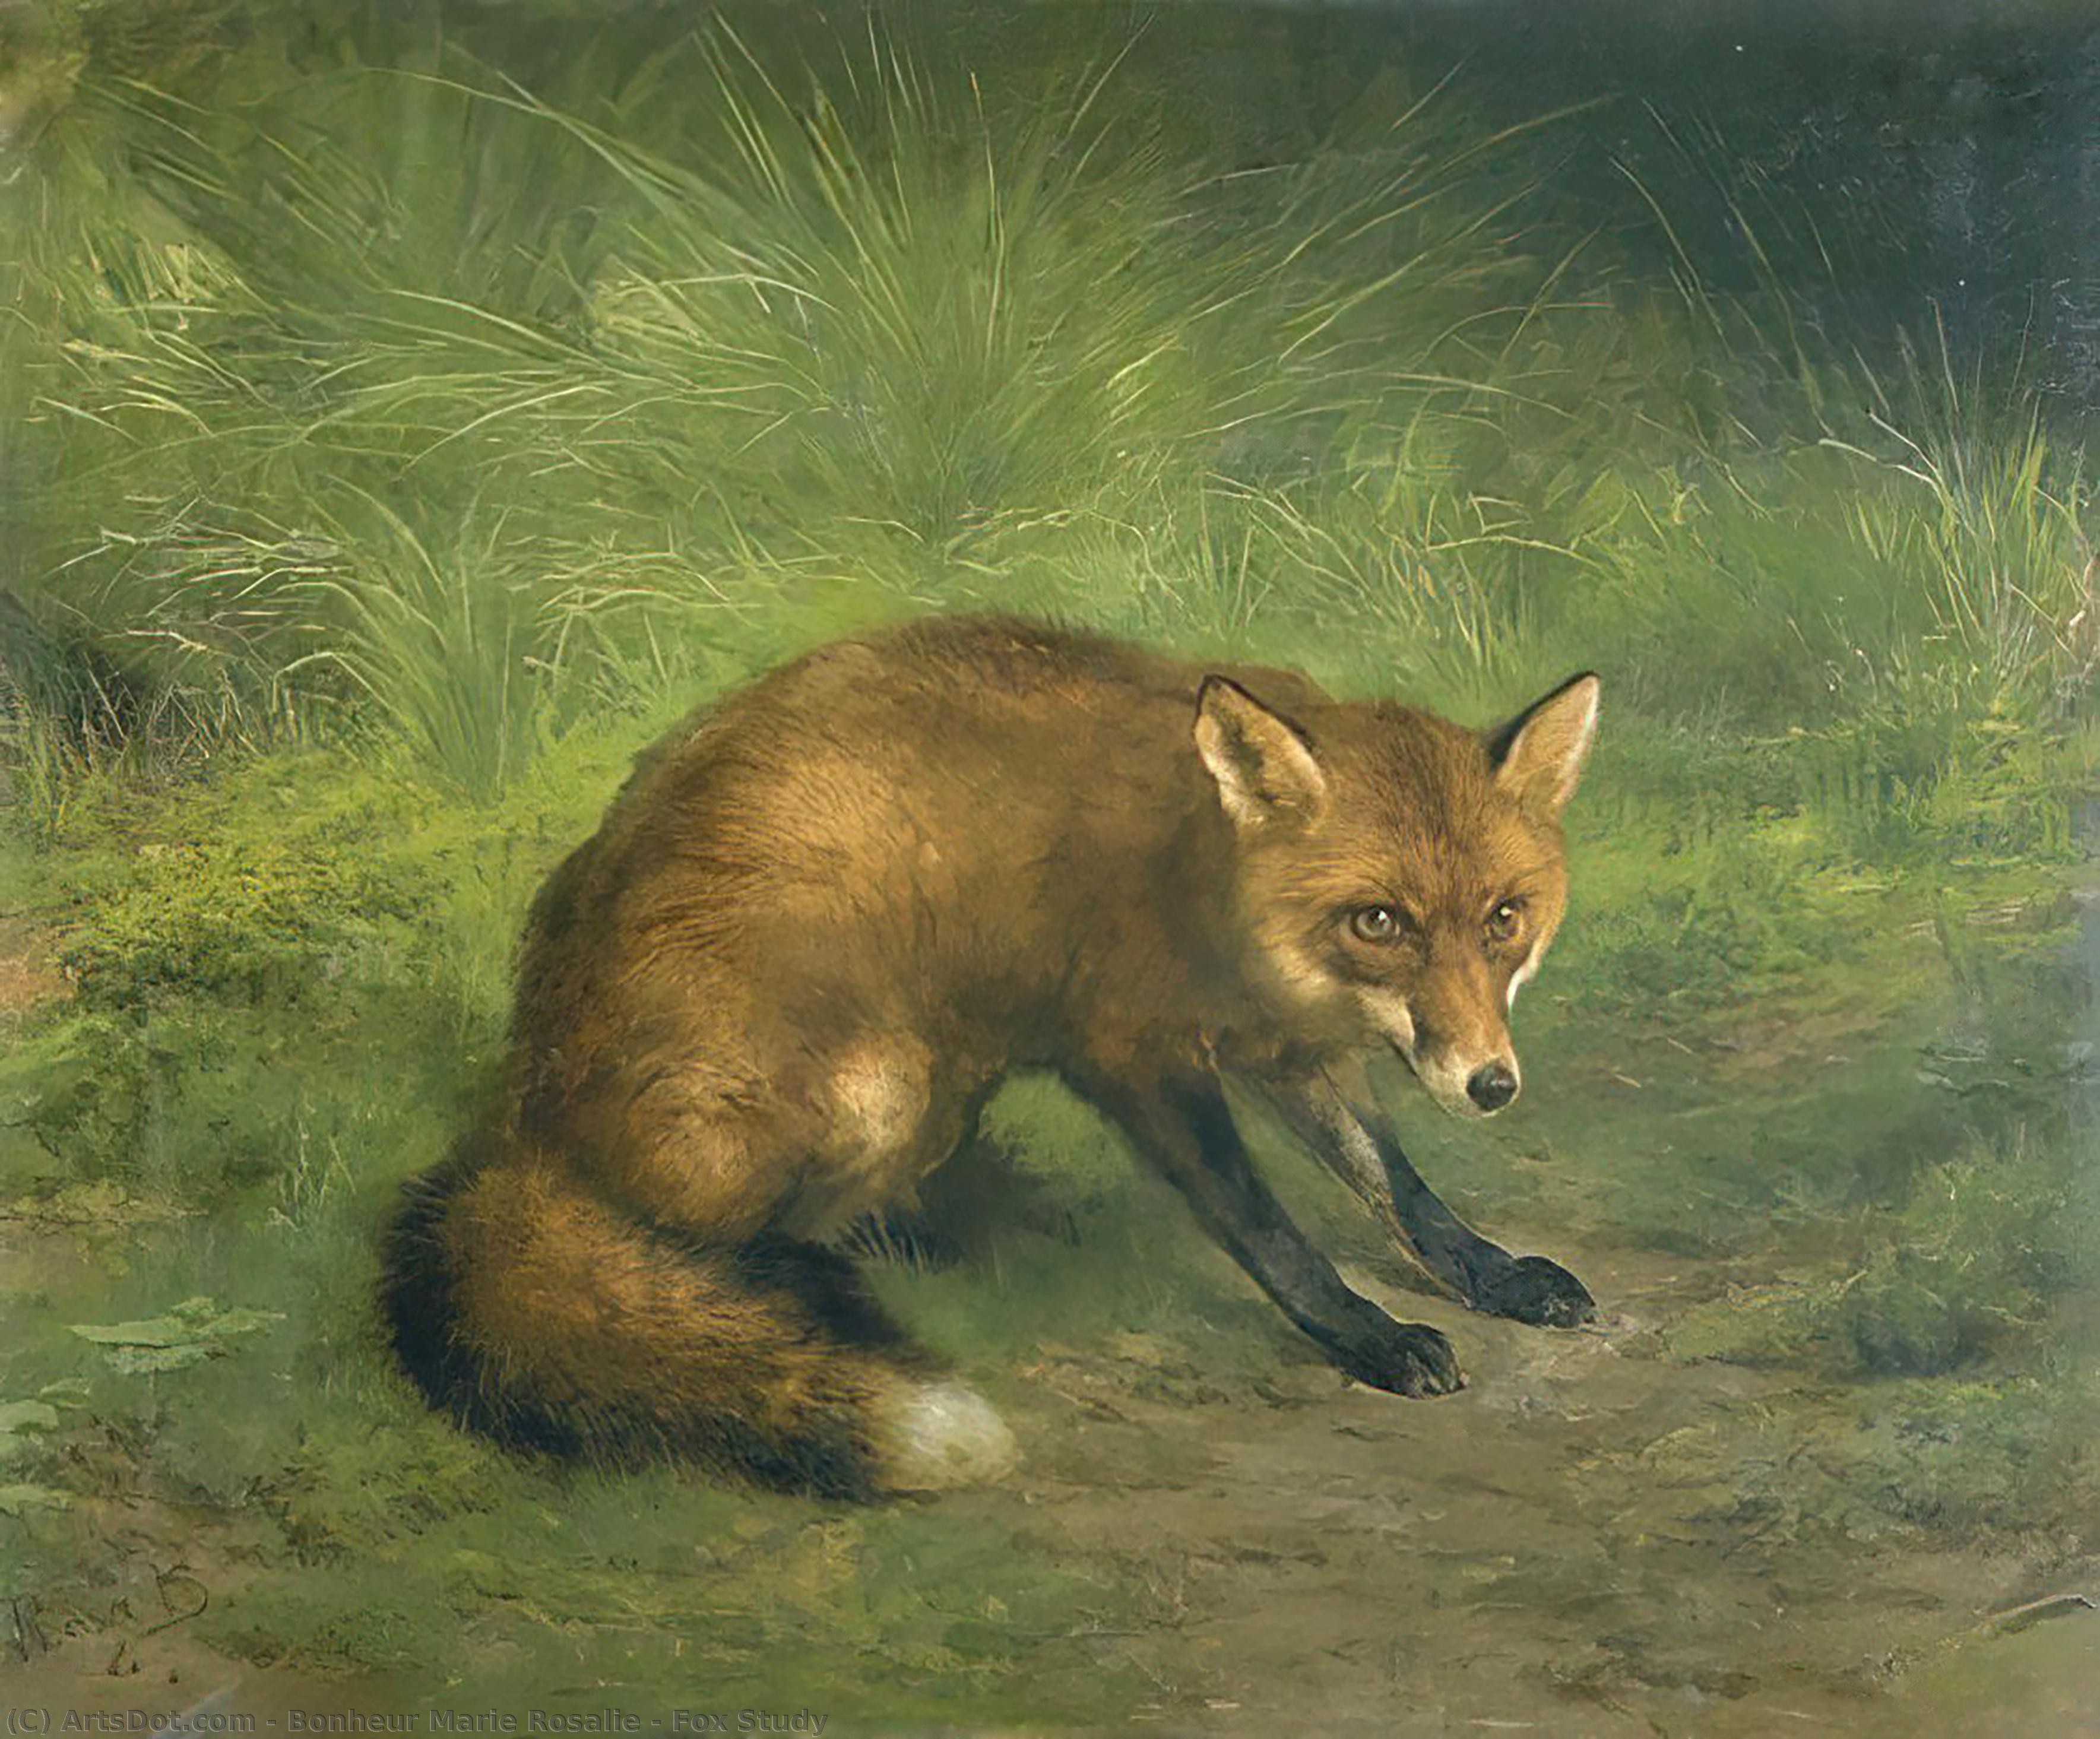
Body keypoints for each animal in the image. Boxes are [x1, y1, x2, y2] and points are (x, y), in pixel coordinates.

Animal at [382, 613, 1601, 1498]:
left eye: (1503, 918)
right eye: (1380, 921)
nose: (1491, 1085)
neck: (1213, 881)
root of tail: (522, 1110)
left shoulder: (1287, 1048)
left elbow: (1396, 1185)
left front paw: (1494, 1275)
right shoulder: (1135, 1050)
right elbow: (1269, 1229)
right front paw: (1369, 1336)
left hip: (941, 1085)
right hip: (879, 1078)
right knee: (705, 1239)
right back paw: (807, 1289)